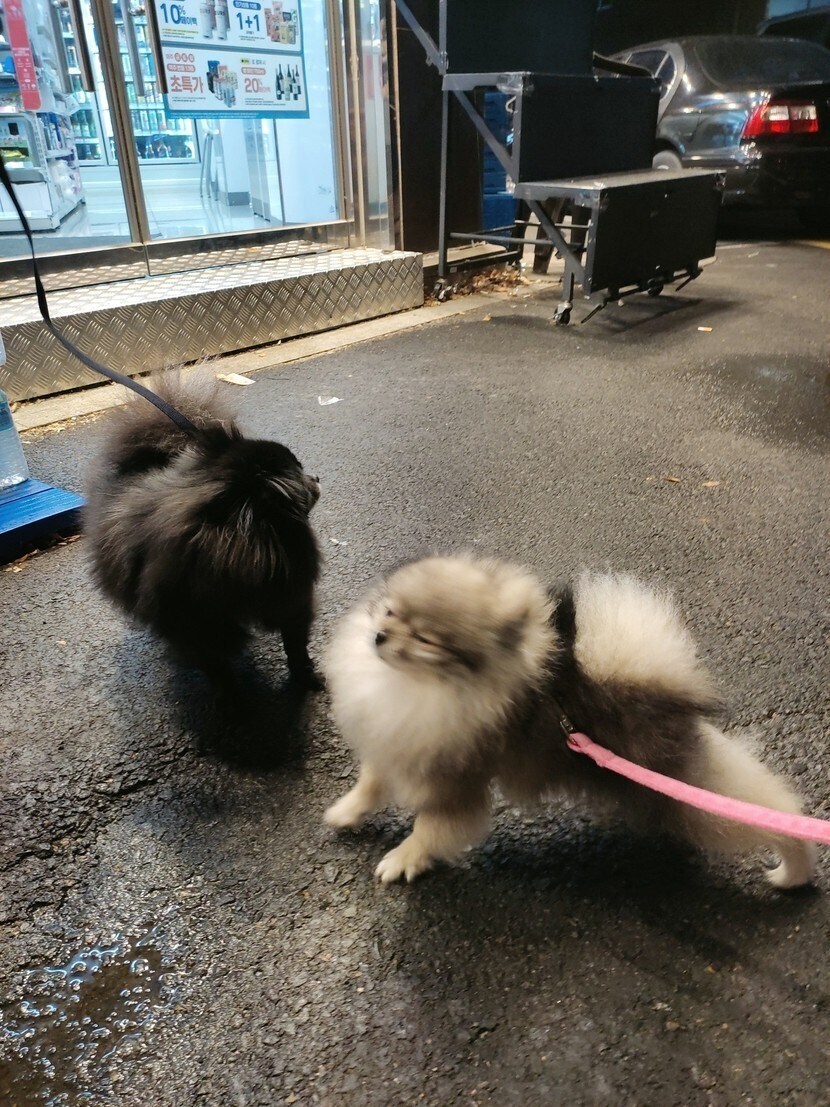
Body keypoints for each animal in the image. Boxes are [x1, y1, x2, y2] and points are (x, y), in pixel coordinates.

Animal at [84, 373, 321, 688]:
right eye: (302, 476)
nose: (316, 477)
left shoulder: (289, 595)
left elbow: (295, 642)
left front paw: (305, 675)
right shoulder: (199, 626)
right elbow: (217, 665)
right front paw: (232, 693)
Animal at [324, 554, 816, 888]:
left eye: (425, 638)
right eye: (390, 611)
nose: (379, 636)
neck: (424, 686)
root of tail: (662, 685)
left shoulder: (456, 782)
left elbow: (432, 828)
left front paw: (403, 858)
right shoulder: (395, 740)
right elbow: (371, 783)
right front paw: (346, 811)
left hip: (684, 789)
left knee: (761, 808)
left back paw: (793, 866)